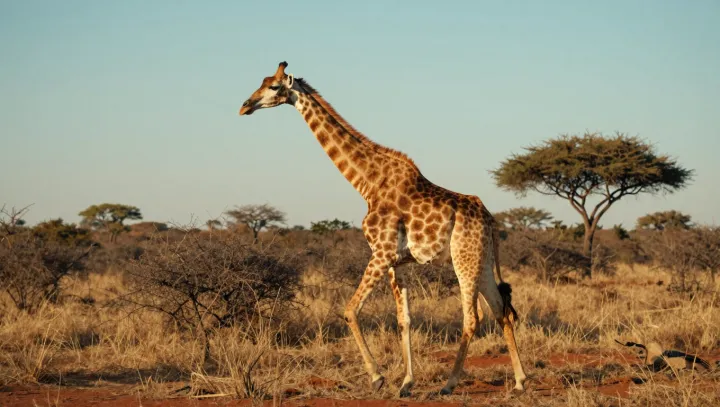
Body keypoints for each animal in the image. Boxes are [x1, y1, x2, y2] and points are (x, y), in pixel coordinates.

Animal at [238, 62, 527, 397]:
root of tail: (490, 220)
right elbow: (404, 320)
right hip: (480, 261)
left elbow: (350, 310)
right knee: (501, 310)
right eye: (261, 82)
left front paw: (377, 377)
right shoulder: (394, 261)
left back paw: (449, 384)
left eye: (273, 87)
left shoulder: (381, 253)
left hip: (464, 260)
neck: (367, 183)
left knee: (473, 318)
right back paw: (520, 381)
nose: (244, 106)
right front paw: (406, 383)